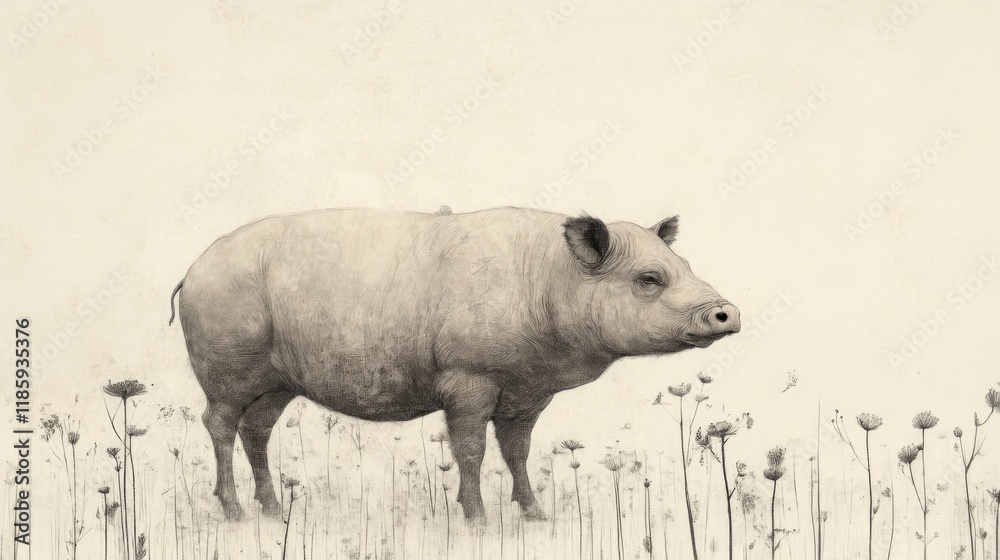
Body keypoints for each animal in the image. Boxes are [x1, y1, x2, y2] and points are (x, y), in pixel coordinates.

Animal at [169, 207, 739, 521]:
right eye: (649, 278)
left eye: (684, 266)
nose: (729, 312)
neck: (547, 285)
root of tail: (191, 271)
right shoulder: (467, 378)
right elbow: (470, 450)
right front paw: (479, 521)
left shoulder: (527, 394)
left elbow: (517, 451)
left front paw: (536, 516)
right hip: (225, 369)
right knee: (218, 423)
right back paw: (235, 514)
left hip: (277, 383)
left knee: (256, 430)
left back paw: (272, 511)